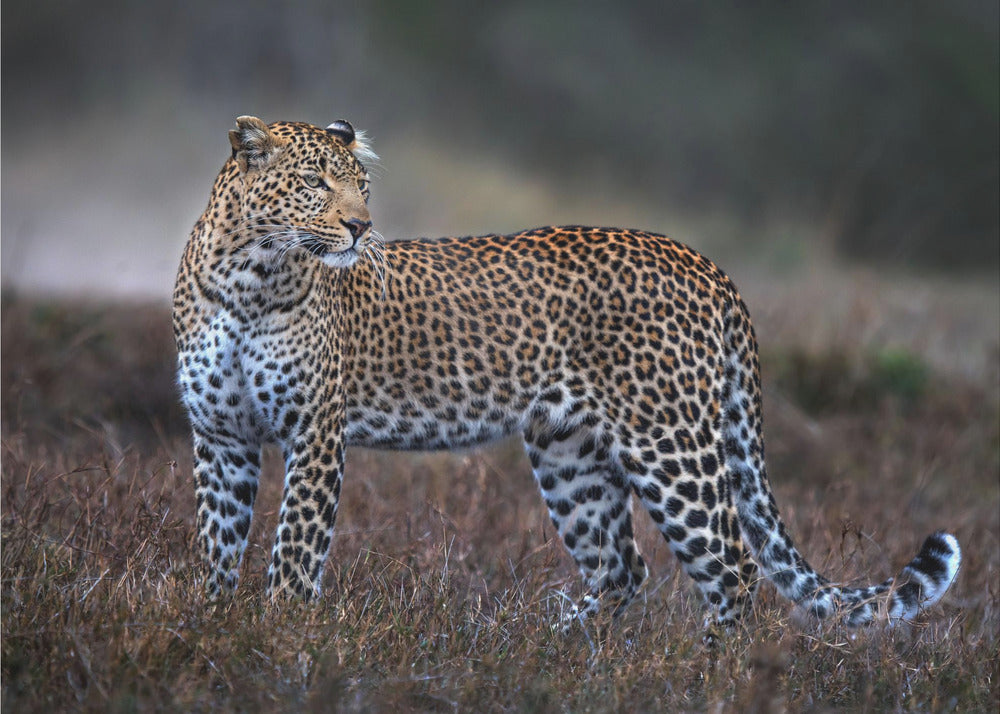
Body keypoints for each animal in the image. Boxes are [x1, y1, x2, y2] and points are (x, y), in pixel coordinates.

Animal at [172, 117, 960, 628]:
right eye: (314, 181)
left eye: (361, 184)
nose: (361, 227)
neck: (250, 277)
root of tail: (705, 262)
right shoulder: (220, 435)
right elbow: (219, 540)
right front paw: (213, 626)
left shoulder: (314, 431)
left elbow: (294, 551)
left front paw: (281, 636)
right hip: (569, 452)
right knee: (623, 569)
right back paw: (560, 644)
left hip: (671, 443)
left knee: (733, 568)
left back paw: (712, 675)